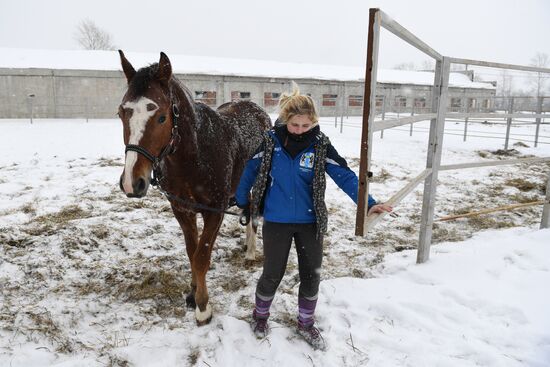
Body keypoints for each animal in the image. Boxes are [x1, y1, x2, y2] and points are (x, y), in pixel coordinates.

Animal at [118, 49, 272, 324]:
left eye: (161, 117)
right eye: (121, 113)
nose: (131, 183)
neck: (196, 155)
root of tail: (256, 110)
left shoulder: (214, 212)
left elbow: (202, 256)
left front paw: (203, 307)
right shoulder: (182, 210)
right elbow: (192, 252)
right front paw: (192, 294)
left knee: (254, 210)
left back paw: (251, 251)